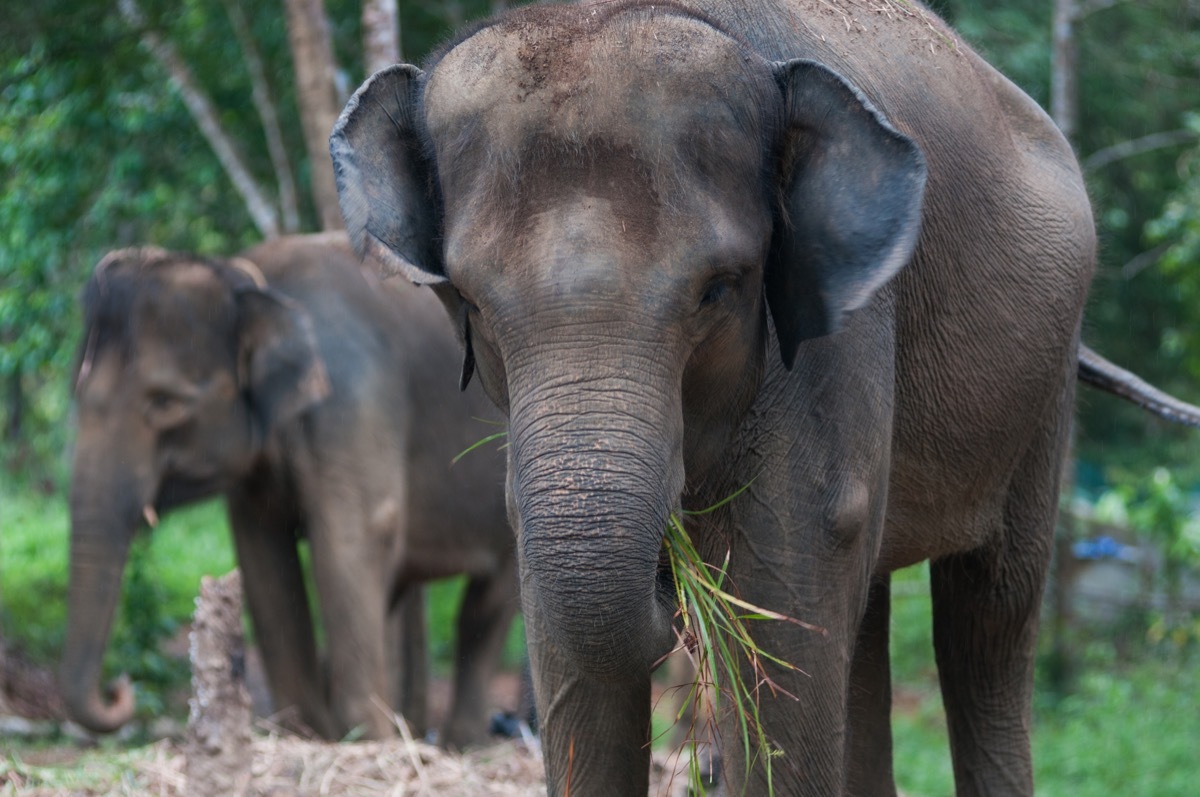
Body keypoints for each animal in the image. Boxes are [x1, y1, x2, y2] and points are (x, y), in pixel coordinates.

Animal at [64, 232, 517, 748]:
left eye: (164, 403)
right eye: (78, 394)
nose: (119, 689)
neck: (252, 280)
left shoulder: (354, 396)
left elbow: (352, 539)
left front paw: (366, 740)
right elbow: (264, 559)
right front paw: (301, 732)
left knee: (484, 603)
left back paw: (462, 742)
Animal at [330, 1, 1200, 794]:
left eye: (719, 288)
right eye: (473, 302)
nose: (667, 572)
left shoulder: (838, 322)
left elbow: (786, 574)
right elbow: (573, 644)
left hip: (1044, 382)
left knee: (987, 614)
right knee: (868, 619)